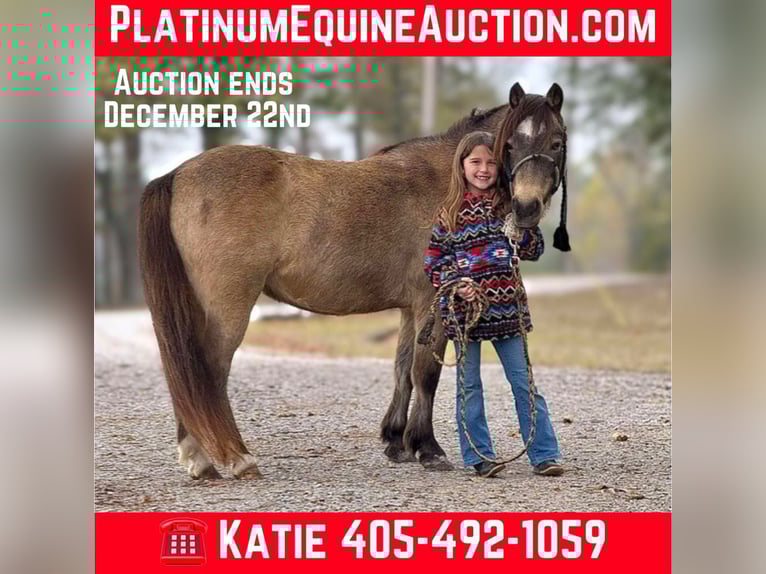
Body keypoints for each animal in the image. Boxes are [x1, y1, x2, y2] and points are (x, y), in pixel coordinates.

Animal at [138, 82, 569, 479]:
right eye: (509, 144)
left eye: (557, 142)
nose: (525, 207)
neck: (448, 180)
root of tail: (177, 174)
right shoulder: (431, 300)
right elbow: (425, 375)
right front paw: (428, 449)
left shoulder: (411, 310)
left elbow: (402, 370)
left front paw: (397, 442)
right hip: (229, 306)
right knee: (209, 370)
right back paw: (234, 458)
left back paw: (200, 459)